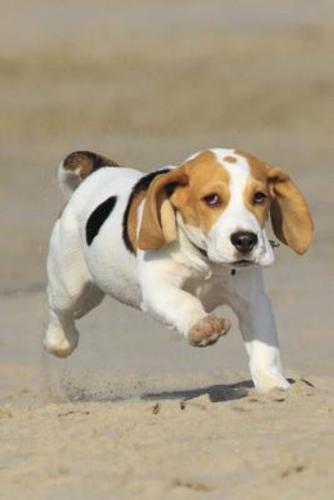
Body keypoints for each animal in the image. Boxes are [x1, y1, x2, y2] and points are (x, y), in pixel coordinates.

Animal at [45, 146, 314, 392]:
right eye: (212, 199)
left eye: (259, 197)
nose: (246, 240)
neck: (205, 259)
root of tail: (100, 171)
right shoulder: (158, 289)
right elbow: (185, 301)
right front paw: (203, 327)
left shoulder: (252, 300)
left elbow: (264, 345)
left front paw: (273, 384)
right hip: (70, 286)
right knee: (59, 311)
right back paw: (60, 342)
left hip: (94, 292)